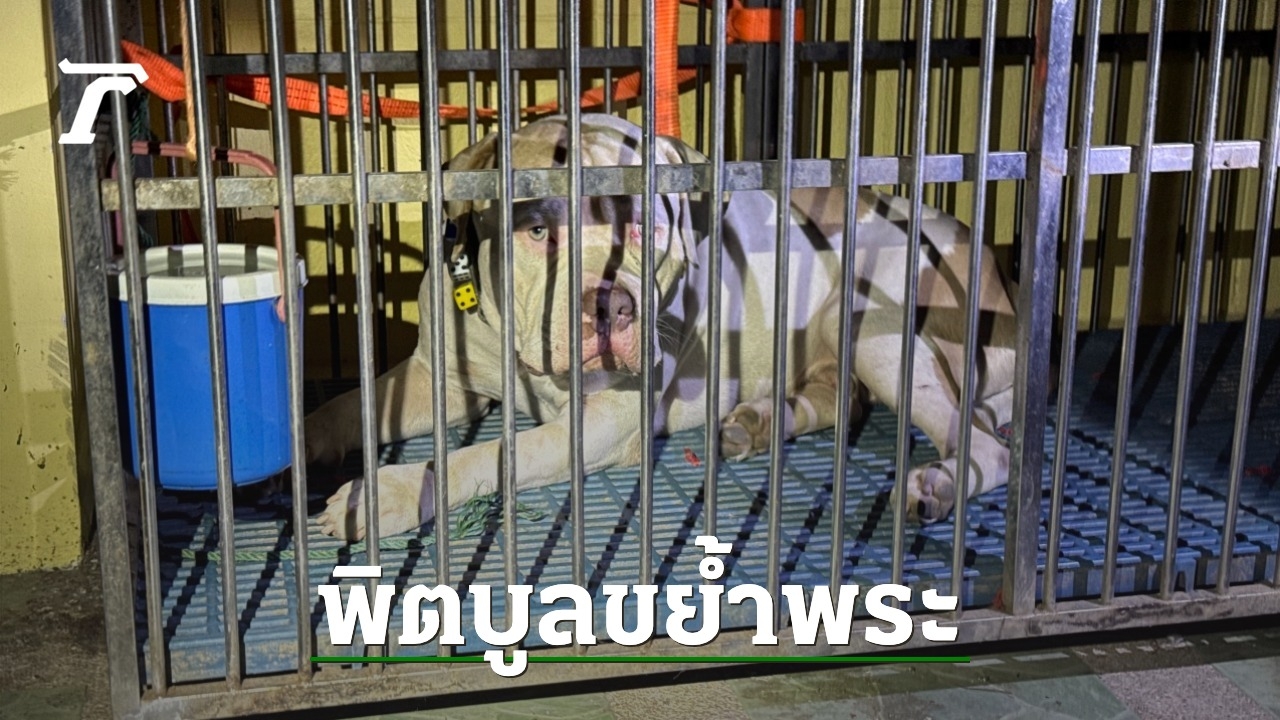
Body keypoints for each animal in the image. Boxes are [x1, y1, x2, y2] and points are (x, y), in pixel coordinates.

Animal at [304, 113, 1018, 542]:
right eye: (537, 231)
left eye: (646, 225)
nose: (610, 306)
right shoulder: (440, 377)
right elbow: (348, 408)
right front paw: (298, 446)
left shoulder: (604, 420)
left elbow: (488, 455)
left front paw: (385, 493)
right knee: (839, 396)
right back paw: (757, 423)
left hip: (881, 330)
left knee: (987, 444)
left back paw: (935, 485)